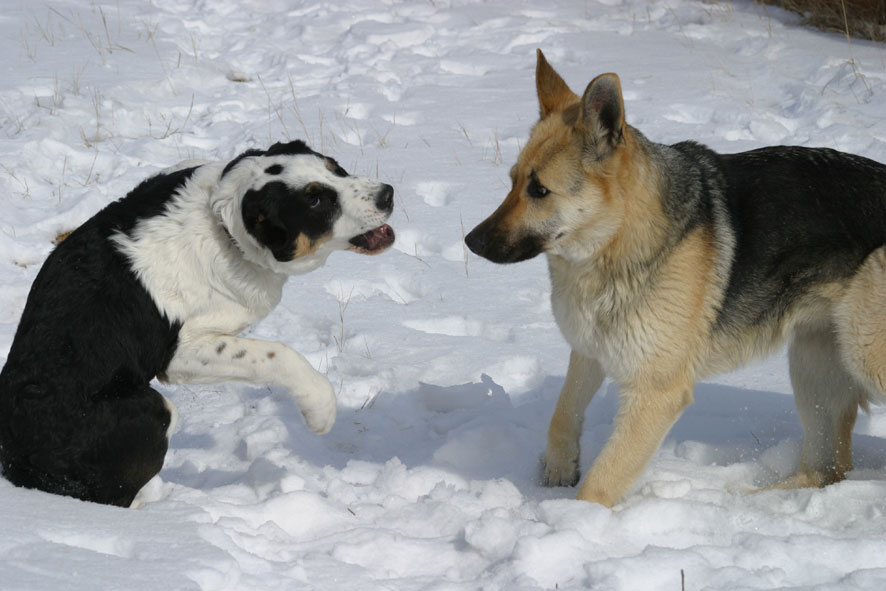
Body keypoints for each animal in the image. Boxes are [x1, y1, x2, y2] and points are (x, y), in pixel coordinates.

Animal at [0, 141, 396, 506]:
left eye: (335, 168)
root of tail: (14, 463)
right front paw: (320, 410)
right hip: (151, 412)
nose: (387, 195)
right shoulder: (181, 352)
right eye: (315, 201)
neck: (221, 221)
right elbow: (277, 354)